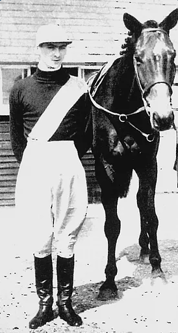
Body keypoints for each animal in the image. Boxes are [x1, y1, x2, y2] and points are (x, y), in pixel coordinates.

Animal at [88, 8, 178, 298]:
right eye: (138, 59)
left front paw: (157, 269)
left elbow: (151, 214)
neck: (124, 111)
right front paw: (108, 281)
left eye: (172, 55)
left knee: (140, 202)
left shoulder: (148, 163)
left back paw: (145, 247)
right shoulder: (106, 167)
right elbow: (111, 225)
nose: (163, 117)